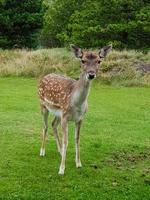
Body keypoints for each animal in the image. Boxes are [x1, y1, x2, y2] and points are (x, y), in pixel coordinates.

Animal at [38, 43, 112, 175]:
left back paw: (60, 151)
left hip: (58, 113)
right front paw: (61, 169)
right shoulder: (65, 117)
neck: (77, 104)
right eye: (83, 60)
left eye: (99, 61)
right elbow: (66, 140)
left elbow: (77, 139)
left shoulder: (80, 118)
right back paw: (42, 151)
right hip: (43, 105)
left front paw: (78, 163)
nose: (91, 74)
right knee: (45, 126)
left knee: (53, 124)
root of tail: (45, 76)